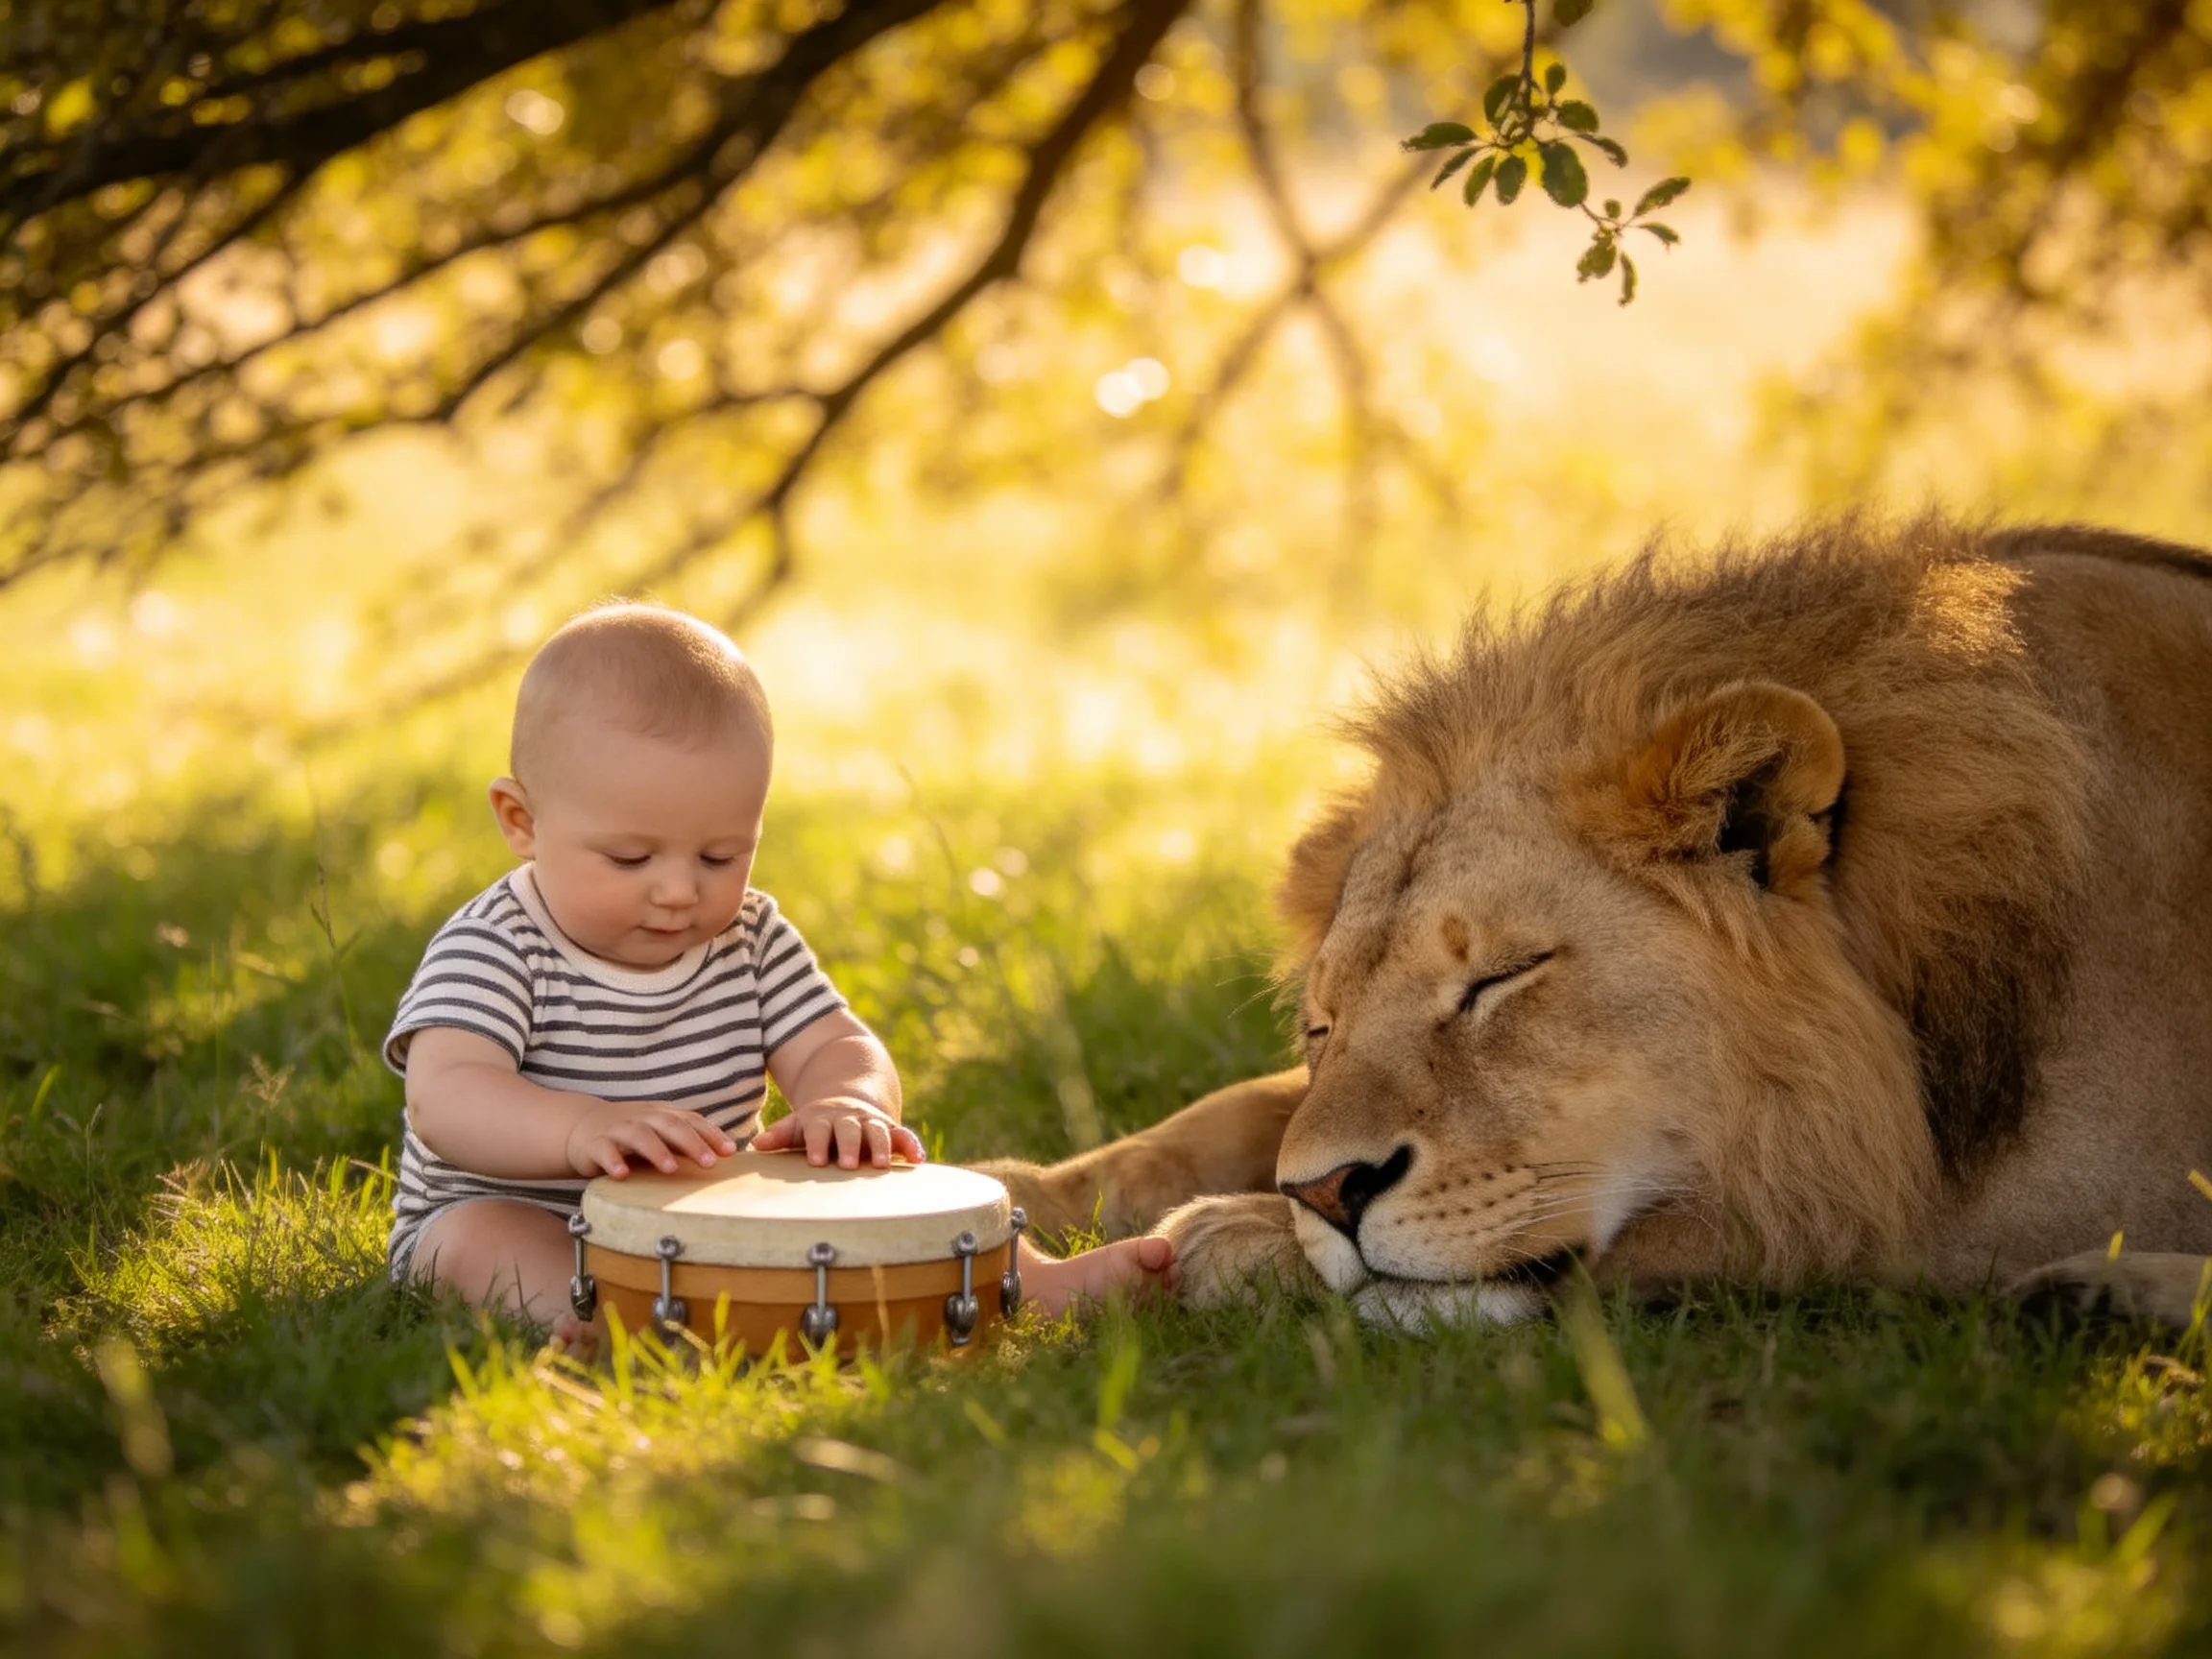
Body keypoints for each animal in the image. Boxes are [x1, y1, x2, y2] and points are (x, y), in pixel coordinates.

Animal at [981, 516, 2212, 1328]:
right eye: (1321, 1027)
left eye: (1501, 979)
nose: (1324, 1196)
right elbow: (1228, 1109)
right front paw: (1009, 1186)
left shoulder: (1928, 1201)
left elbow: (1723, 1220)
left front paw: (1229, 1234)